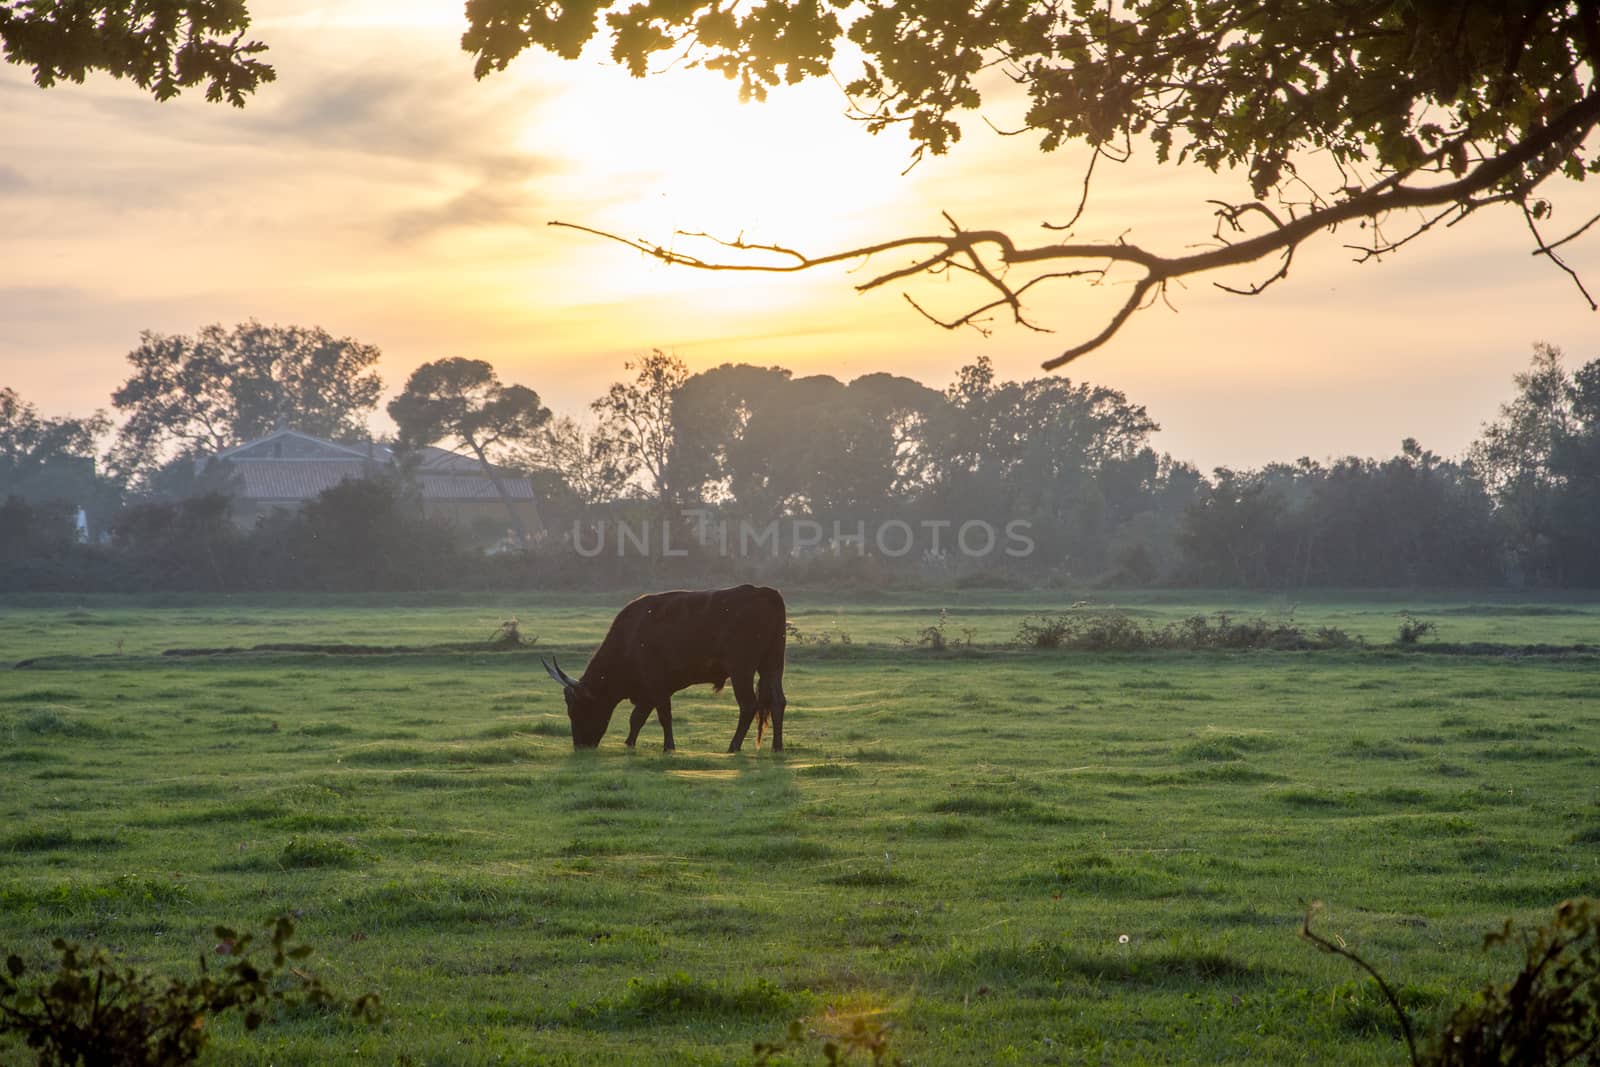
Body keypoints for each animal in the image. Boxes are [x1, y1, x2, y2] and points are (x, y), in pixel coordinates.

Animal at [544, 588, 787, 755]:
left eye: (579, 708)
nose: (580, 746)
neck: (630, 638)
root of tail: (765, 592)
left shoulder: (657, 685)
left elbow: (663, 716)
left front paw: (668, 746)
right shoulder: (649, 690)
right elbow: (637, 718)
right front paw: (629, 743)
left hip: (741, 669)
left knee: (748, 705)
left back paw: (733, 746)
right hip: (772, 666)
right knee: (778, 702)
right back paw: (777, 746)